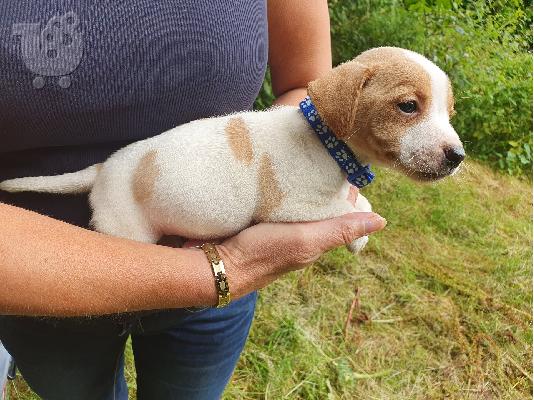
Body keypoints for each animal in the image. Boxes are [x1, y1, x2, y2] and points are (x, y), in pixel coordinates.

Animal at [0, 47, 464, 253]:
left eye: (449, 112)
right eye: (408, 106)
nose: (457, 157)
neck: (324, 141)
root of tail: (103, 168)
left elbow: (358, 200)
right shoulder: (294, 207)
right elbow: (351, 208)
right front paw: (360, 235)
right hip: (127, 230)